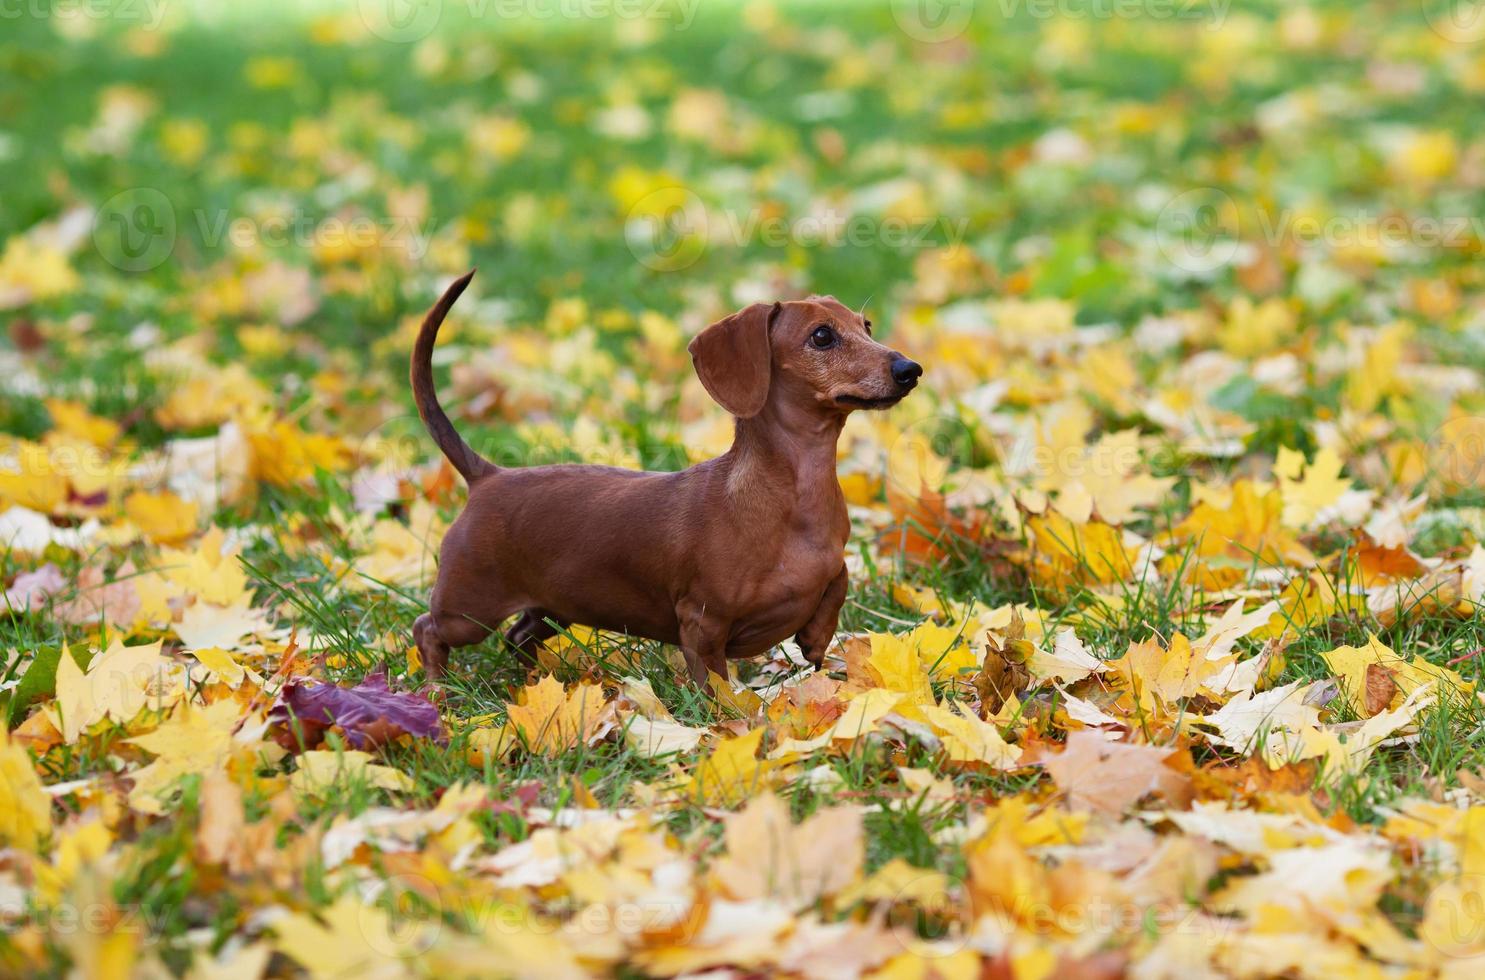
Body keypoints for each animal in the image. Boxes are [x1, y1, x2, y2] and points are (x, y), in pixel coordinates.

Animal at [406, 267, 914, 680]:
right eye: (822, 336)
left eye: (866, 327)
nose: (910, 369)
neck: (793, 496)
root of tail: (488, 476)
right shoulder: (701, 623)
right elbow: (715, 686)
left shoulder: (830, 565)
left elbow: (838, 580)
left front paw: (815, 637)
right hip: (467, 610)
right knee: (427, 629)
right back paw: (438, 690)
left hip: (553, 609)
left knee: (517, 639)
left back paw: (532, 684)